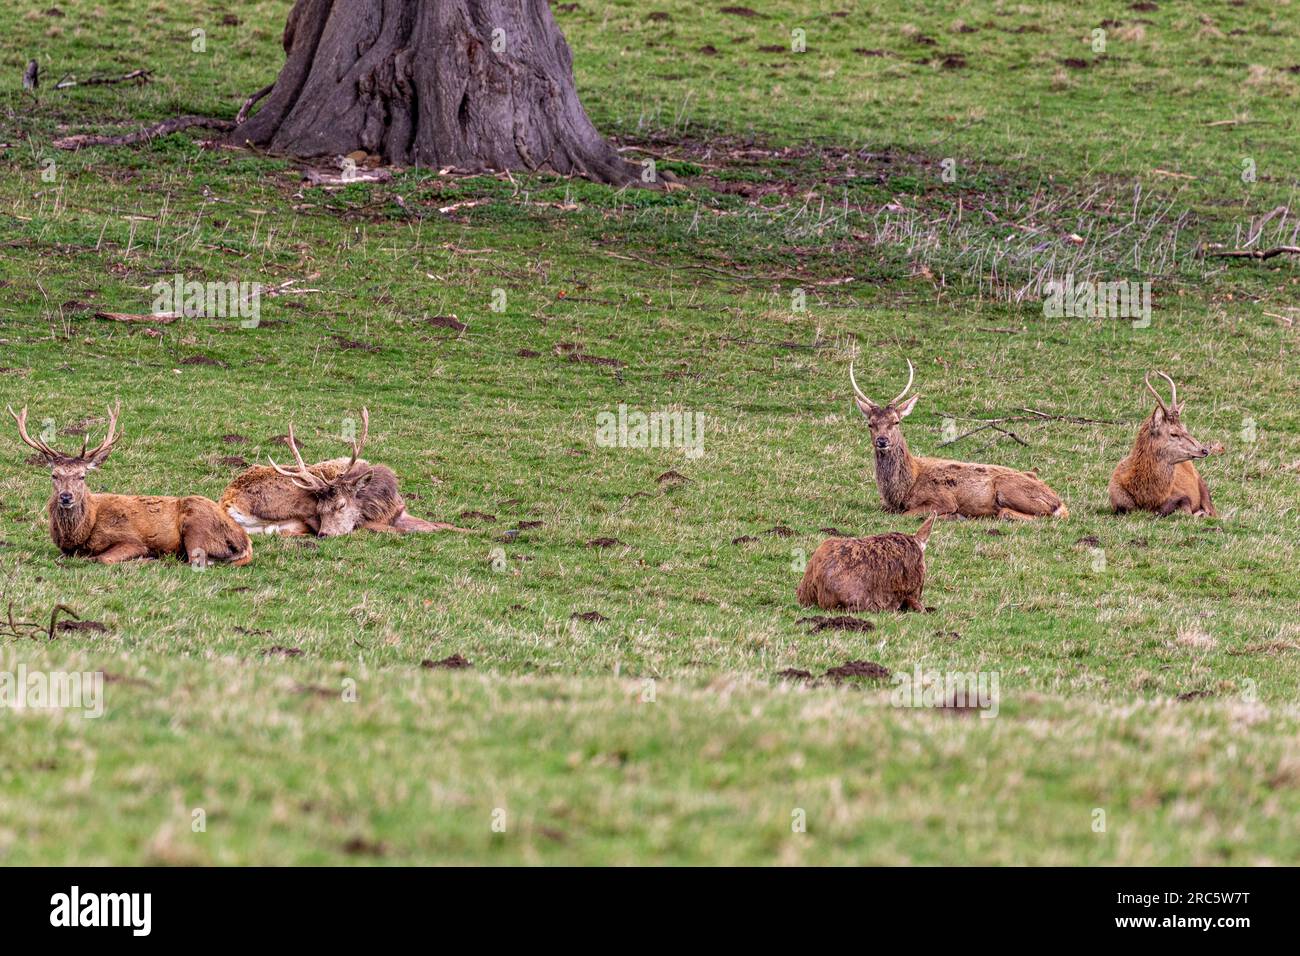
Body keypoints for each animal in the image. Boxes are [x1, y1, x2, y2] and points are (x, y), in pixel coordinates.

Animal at [852, 361, 1066, 522]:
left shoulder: (942, 499)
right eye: (870, 424)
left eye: (896, 421)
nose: (882, 440)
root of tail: (1059, 502)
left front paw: (953, 515)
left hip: (1008, 487)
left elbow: (907, 514)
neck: (905, 488)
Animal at [1112, 371, 1211, 520]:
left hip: (1203, 487)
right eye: (1173, 433)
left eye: (1185, 428)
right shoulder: (1118, 503)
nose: (1204, 449)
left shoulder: (1183, 496)